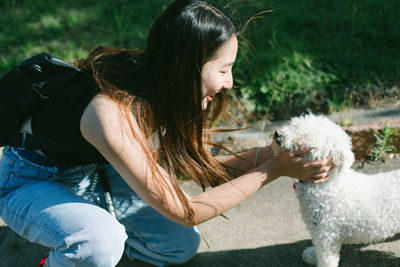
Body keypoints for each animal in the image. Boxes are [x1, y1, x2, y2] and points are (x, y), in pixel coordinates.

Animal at [270, 113, 400, 267]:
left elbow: (326, 259)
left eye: (303, 137)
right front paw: (312, 255)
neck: (325, 185)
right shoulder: (317, 231)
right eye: (293, 124)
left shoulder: (327, 235)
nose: (278, 133)